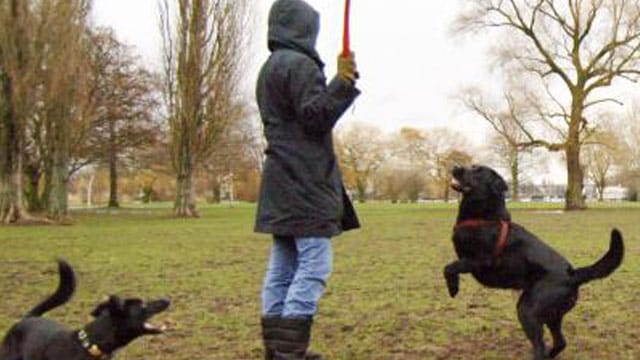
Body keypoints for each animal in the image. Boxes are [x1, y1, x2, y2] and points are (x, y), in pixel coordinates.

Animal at [442, 165, 624, 360]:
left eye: (478, 171)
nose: (455, 167)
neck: (484, 217)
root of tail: (572, 274)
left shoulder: (481, 260)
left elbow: (449, 267)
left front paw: (453, 288)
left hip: (527, 309)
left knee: (540, 347)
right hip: (552, 316)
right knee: (560, 343)